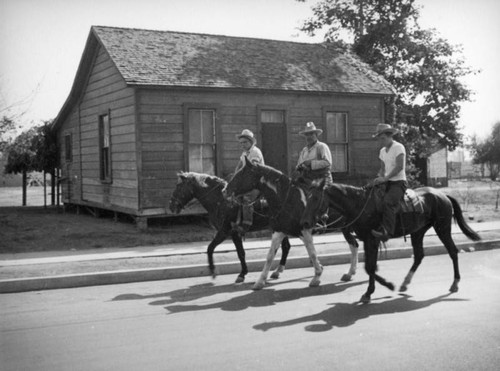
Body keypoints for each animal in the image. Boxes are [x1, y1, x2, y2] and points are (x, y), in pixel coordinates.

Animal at [223, 157, 360, 290]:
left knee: (353, 245)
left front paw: (316, 276)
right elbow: (270, 255)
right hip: (346, 228)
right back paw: (350, 273)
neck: (286, 199)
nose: (225, 190)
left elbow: (312, 253)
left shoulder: (305, 231)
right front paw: (260, 281)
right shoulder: (279, 231)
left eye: (242, 174)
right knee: (354, 245)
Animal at [300, 180, 480, 306]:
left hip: (442, 228)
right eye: (306, 198)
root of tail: (443, 196)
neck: (360, 204)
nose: (305, 223)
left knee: (453, 251)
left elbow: (370, 267)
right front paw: (371, 291)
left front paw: (381, 288)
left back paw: (454, 284)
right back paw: (405, 284)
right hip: (418, 232)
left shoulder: (372, 239)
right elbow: (369, 267)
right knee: (419, 256)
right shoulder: (367, 239)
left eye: (316, 197)